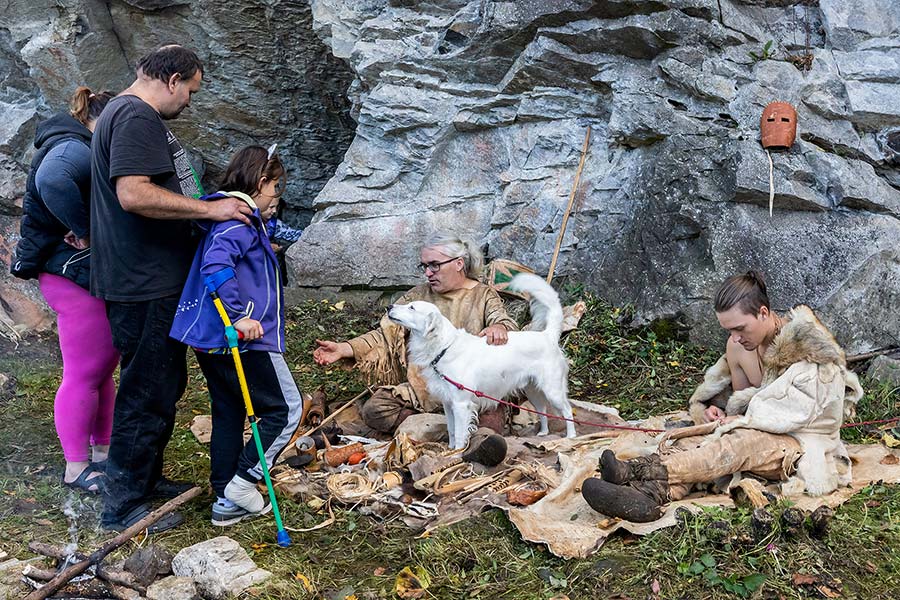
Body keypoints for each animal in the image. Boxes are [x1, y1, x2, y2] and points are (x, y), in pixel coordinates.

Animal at [388, 274, 576, 448]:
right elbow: (451, 430)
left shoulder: (460, 404)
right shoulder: (448, 403)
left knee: (567, 411)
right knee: (542, 411)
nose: (389, 306)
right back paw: (543, 433)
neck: (444, 347)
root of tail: (547, 335)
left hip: (553, 390)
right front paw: (449, 450)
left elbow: (459, 433)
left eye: (412, 307)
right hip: (533, 390)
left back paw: (571, 437)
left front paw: (457, 453)